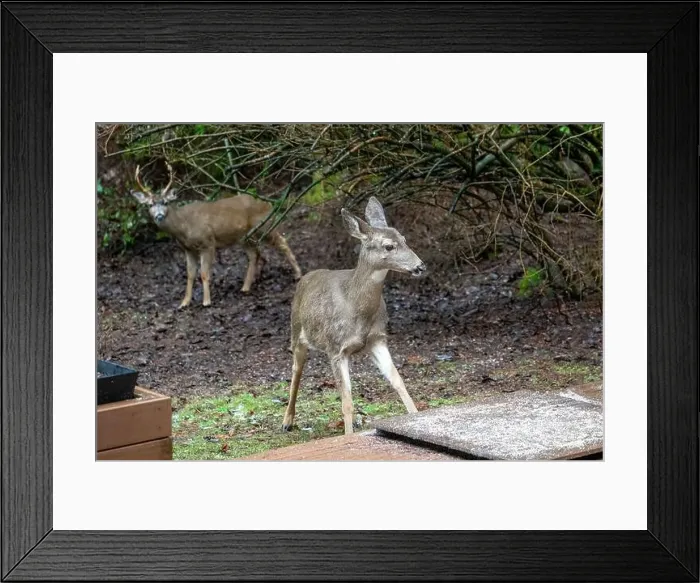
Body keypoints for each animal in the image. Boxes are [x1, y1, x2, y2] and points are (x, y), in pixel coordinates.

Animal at [130, 162, 302, 308]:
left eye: (165, 202)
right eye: (150, 204)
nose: (159, 216)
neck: (184, 227)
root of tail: (268, 203)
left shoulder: (208, 242)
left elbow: (204, 273)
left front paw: (206, 301)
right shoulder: (188, 249)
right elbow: (190, 274)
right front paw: (184, 302)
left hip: (265, 225)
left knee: (282, 242)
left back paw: (298, 274)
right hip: (244, 237)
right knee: (254, 254)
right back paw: (245, 287)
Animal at [282, 196, 426, 435]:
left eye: (404, 239)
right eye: (389, 246)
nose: (420, 266)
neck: (356, 308)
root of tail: (306, 277)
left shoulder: (377, 339)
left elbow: (398, 381)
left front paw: (415, 417)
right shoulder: (336, 349)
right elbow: (347, 402)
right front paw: (348, 436)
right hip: (296, 331)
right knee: (296, 371)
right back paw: (287, 421)